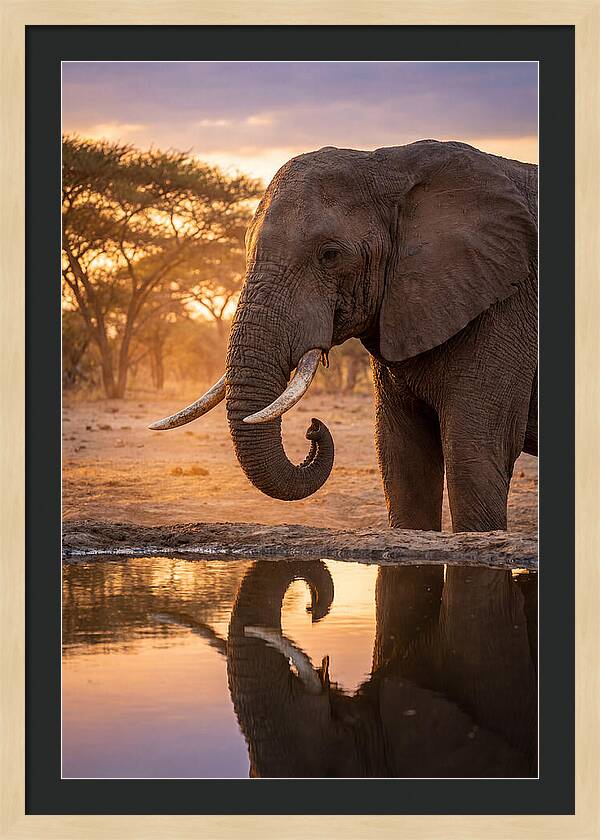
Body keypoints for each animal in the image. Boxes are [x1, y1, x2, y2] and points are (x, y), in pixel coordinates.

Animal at [151, 140, 538, 532]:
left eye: (330, 255)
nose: (313, 427)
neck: (393, 166)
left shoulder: (506, 307)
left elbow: (474, 452)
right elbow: (401, 457)